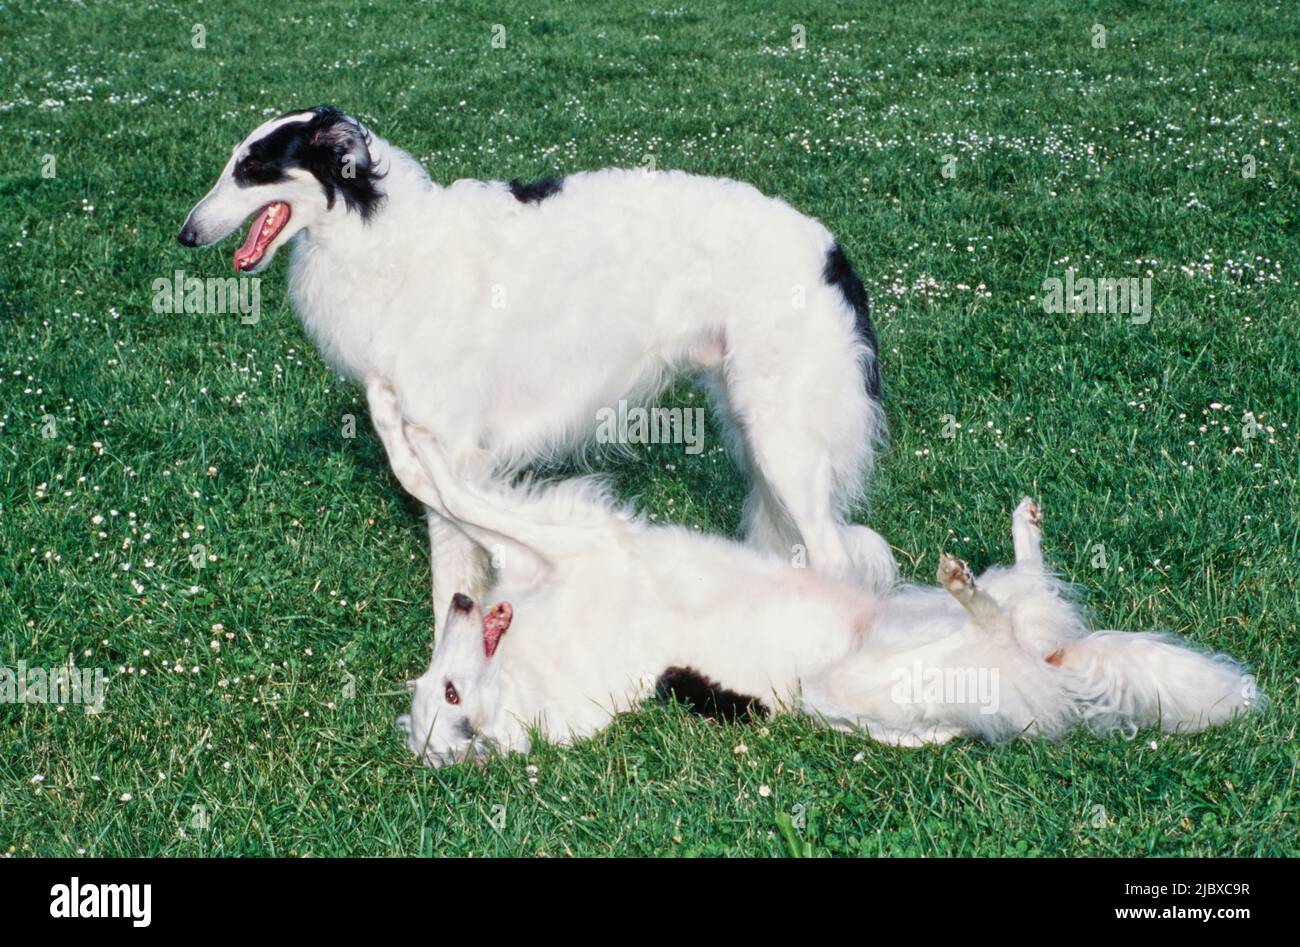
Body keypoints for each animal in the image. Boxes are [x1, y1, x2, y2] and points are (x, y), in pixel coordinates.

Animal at [180, 107, 894, 621]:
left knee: (833, 562)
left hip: (783, 437)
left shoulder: (454, 443)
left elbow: (453, 564)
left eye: (251, 167)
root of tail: (829, 250)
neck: (386, 240)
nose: (186, 233)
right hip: (751, 423)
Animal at [364, 374, 1258, 759]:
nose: (460, 608)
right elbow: (448, 485)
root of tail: (1055, 659)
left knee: (1022, 585)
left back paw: (1015, 532)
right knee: (998, 626)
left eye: (439, 685)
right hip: (851, 688)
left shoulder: (562, 539)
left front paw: (393, 420)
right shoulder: (577, 544)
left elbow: (440, 482)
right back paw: (978, 599)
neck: (530, 672)